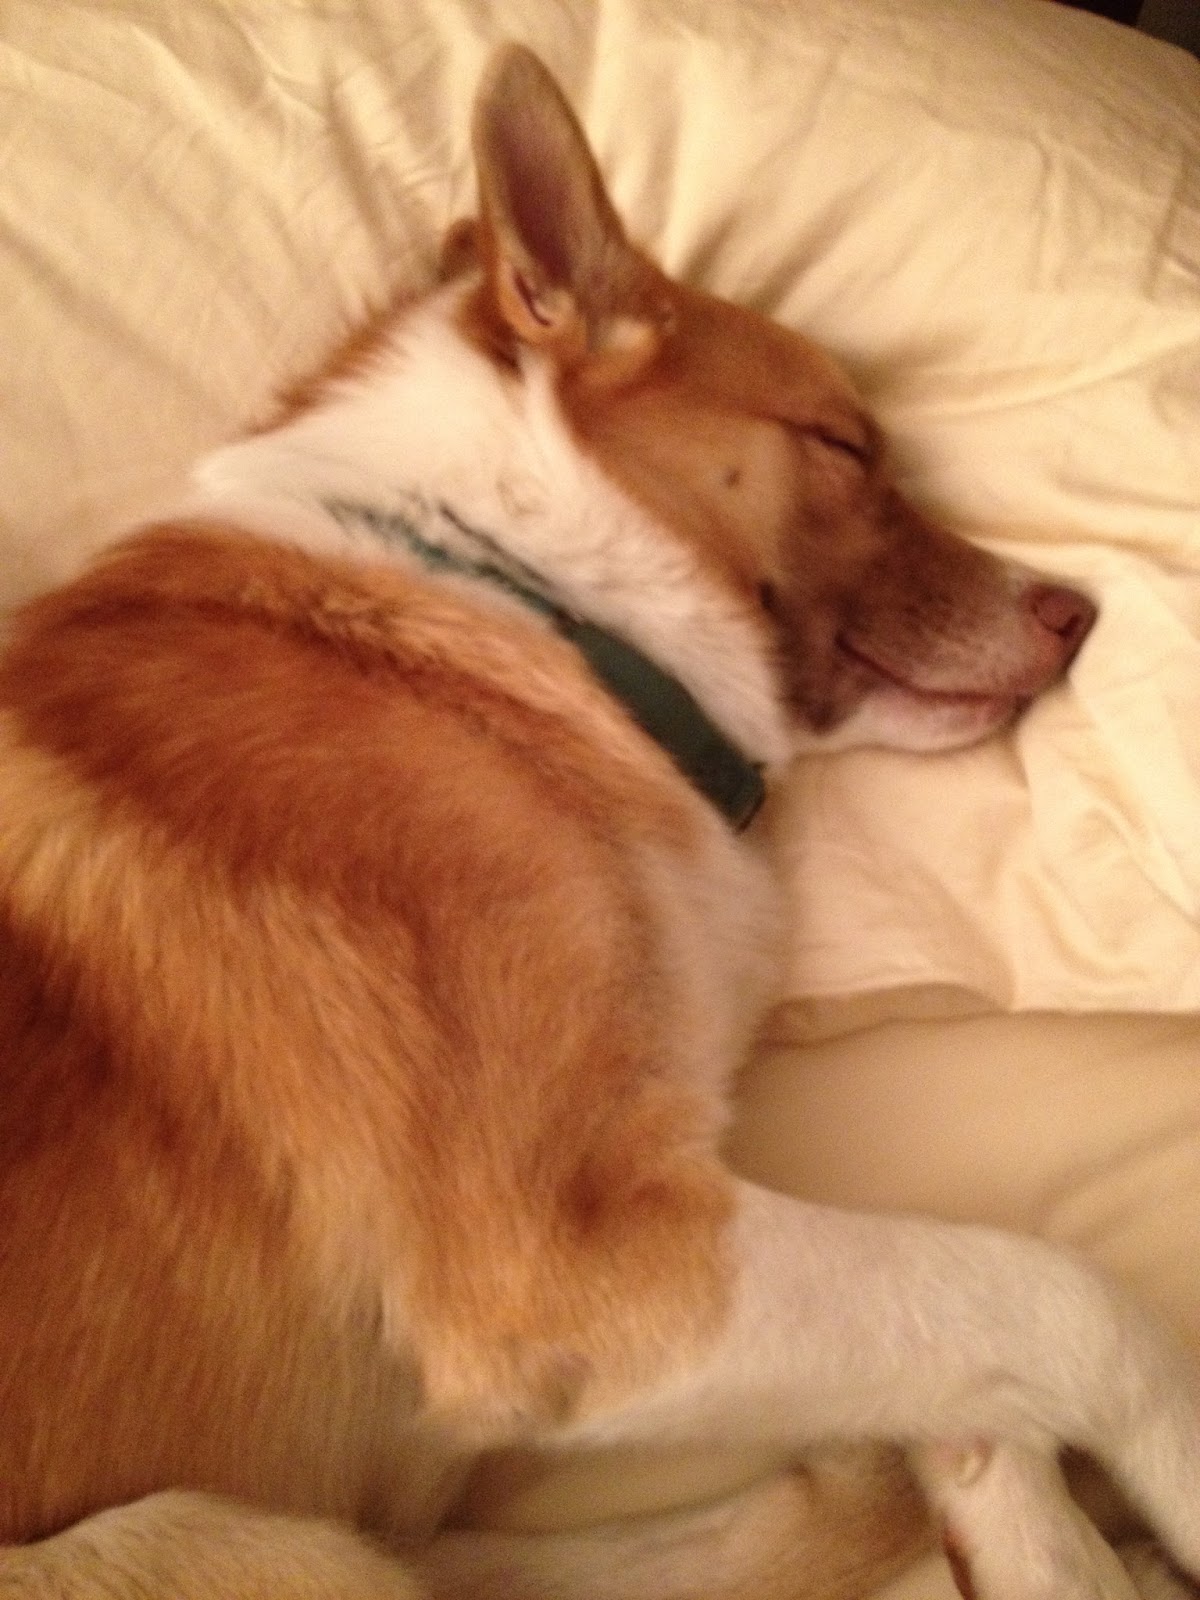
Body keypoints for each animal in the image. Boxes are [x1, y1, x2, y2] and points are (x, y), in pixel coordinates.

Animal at [2, 41, 1199, 1600]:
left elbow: (969, 1351)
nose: (1076, 616)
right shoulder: (575, 1269)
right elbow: (1057, 1293)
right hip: (219, 1539)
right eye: (845, 445)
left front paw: (1027, 1528)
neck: (533, 603)